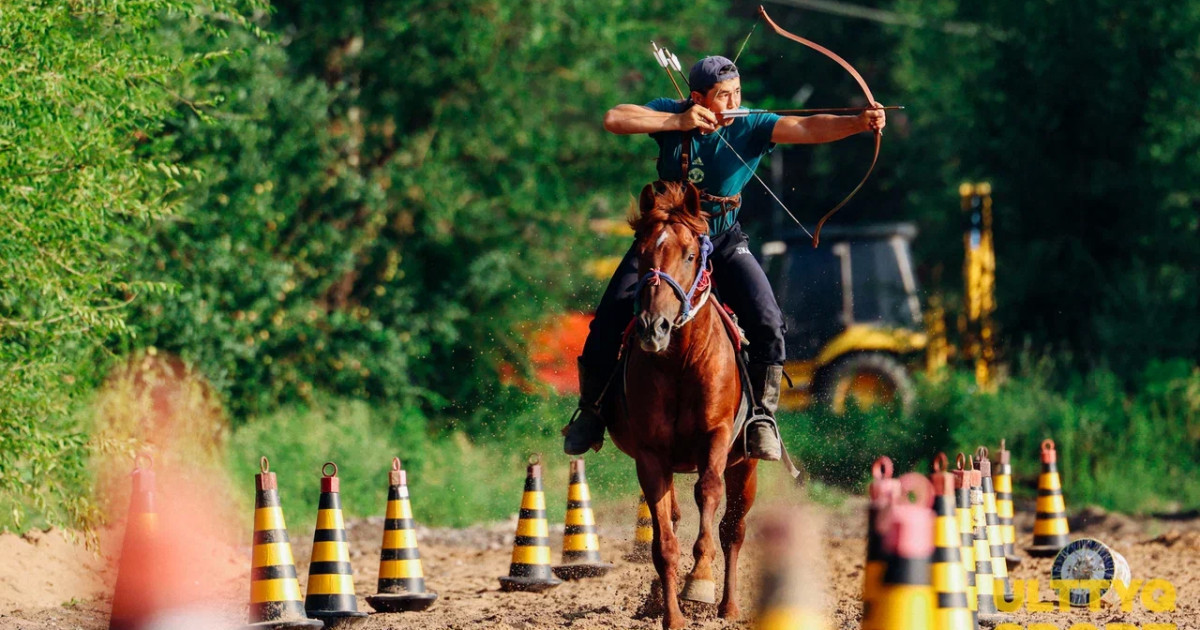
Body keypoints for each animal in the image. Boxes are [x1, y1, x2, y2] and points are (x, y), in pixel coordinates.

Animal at [609, 178, 758, 624]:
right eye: (641, 254)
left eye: (691, 254)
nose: (652, 327)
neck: (681, 362)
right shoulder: (650, 454)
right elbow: (664, 543)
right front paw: (671, 616)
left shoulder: (716, 437)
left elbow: (708, 495)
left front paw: (701, 582)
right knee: (675, 517)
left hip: (745, 463)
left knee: (733, 529)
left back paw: (728, 605)